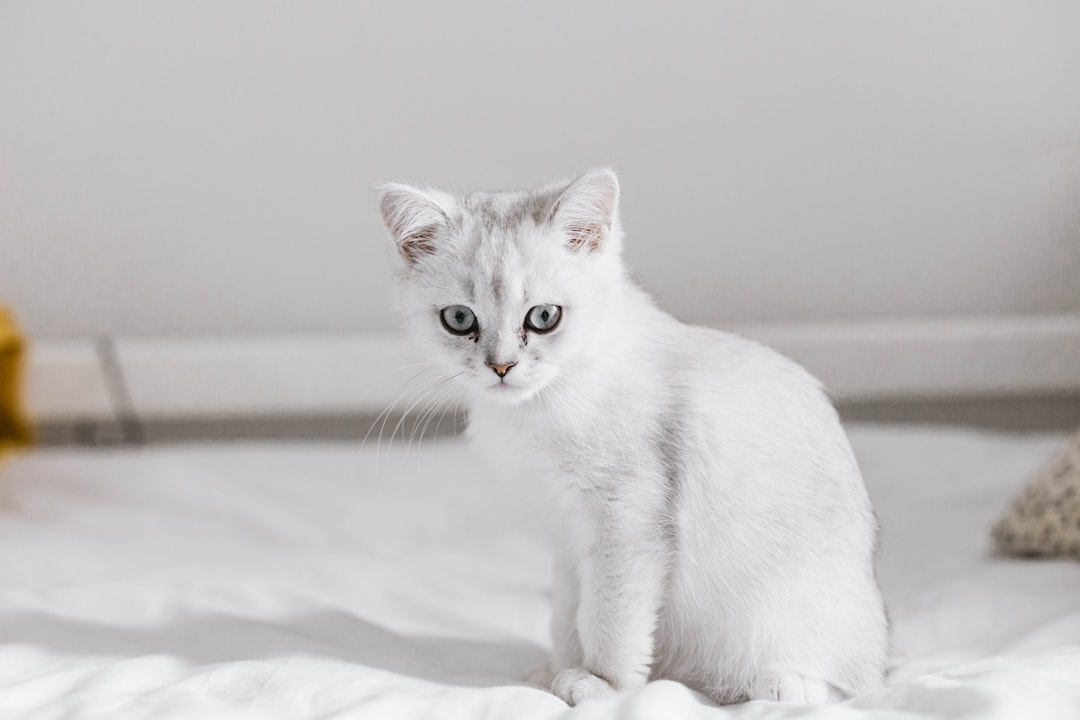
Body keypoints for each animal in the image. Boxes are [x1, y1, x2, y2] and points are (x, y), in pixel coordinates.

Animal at [378, 167, 885, 703]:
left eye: (543, 317)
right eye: (459, 319)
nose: (501, 367)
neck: (547, 402)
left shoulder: (626, 515)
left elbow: (608, 615)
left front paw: (602, 684)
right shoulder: (566, 531)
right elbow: (566, 615)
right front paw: (557, 672)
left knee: (845, 687)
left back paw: (781, 684)